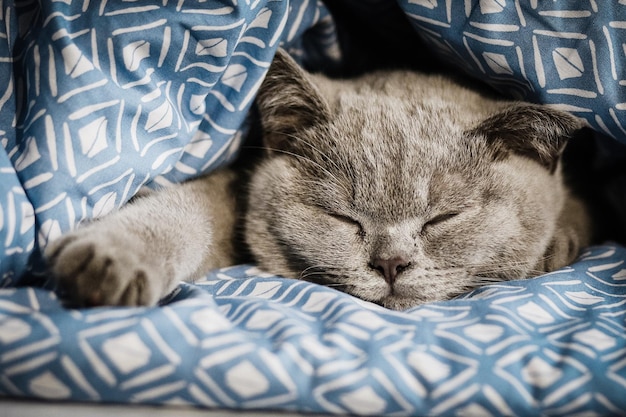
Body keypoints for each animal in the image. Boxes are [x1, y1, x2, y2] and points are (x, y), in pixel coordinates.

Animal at [45, 48, 588, 308]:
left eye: (442, 219)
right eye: (343, 218)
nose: (390, 264)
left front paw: (556, 244)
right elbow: (191, 206)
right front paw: (110, 257)